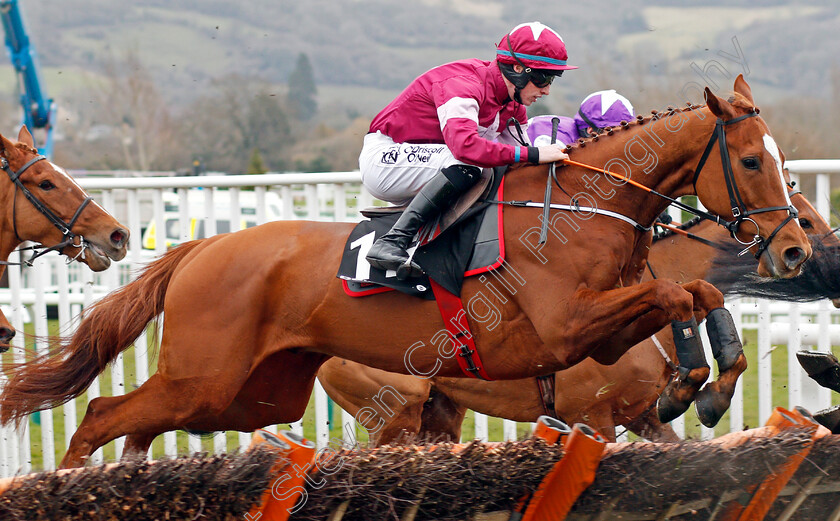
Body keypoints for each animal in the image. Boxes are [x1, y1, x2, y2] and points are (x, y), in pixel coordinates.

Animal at [316, 191, 840, 442]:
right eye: (805, 220)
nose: (806, 253)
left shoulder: (644, 415)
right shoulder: (590, 416)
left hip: (440, 410)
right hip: (394, 412)